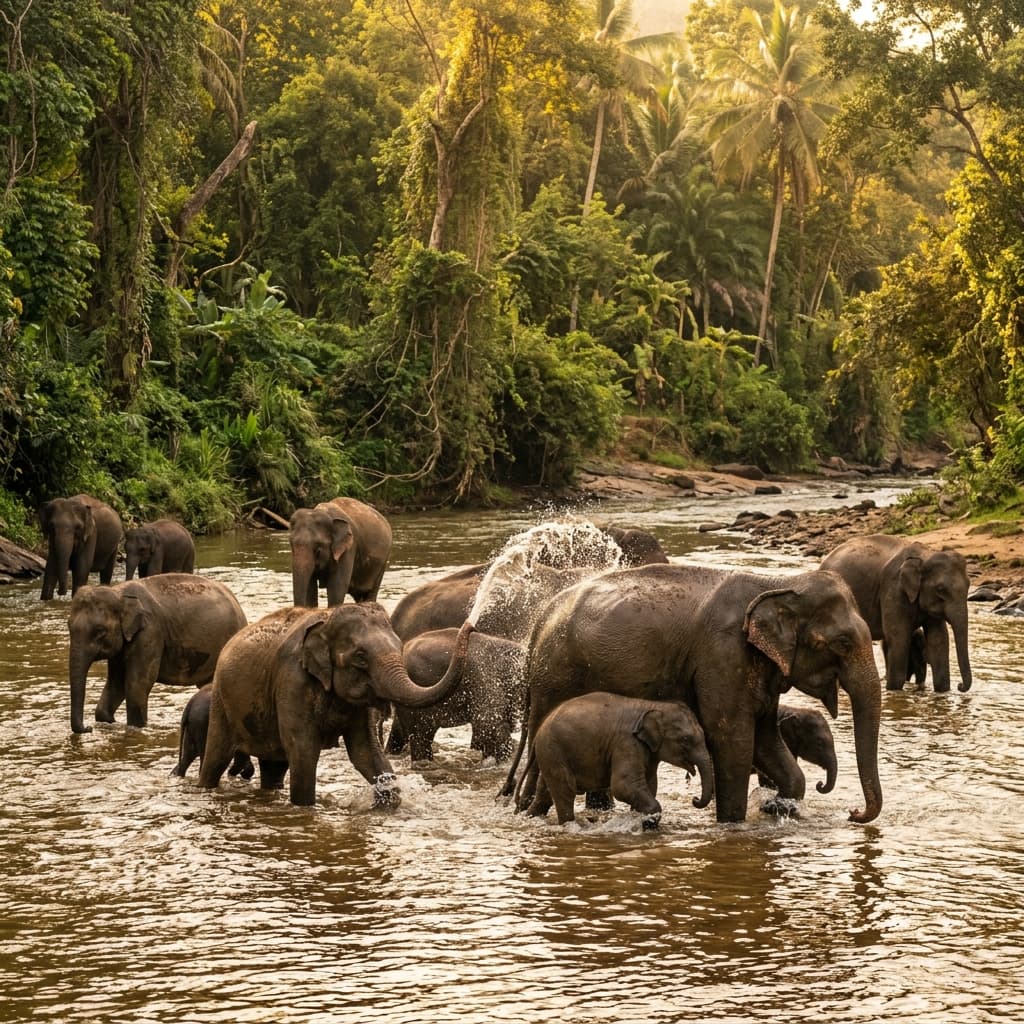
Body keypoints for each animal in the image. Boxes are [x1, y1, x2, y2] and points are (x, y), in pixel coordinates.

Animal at [67, 574, 248, 734]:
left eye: (99, 631)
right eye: (69, 627)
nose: (88, 728)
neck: (119, 593)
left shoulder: (150, 632)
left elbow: (137, 684)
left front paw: (136, 727)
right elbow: (116, 682)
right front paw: (109, 722)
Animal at [198, 604, 474, 806]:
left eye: (399, 647)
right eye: (360, 657)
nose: (470, 625)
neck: (327, 618)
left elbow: (365, 751)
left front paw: (387, 800)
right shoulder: (292, 681)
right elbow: (304, 750)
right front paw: (306, 808)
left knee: (274, 767)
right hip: (221, 703)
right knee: (216, 759)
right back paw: (205, 787)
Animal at [523, 692, 714, 828]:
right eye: (685, 740)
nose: (695, 799)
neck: (652, 705)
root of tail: (539, 730)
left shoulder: (648, 751)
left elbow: (650, 784)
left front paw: (639, 818)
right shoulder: (627, 744)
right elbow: (623, 786)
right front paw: (647, 821)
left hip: (551, 754)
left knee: (546, 790)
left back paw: (530, 817)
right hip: (553, 749)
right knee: (565, 790)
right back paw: (571, 826)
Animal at [820, 534, 972, 692]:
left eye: (969, 585)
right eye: (940, 589)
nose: (960, 686)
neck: (924, 555)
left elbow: (939, 638)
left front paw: (943, 691)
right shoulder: (893, 589)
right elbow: (899, 637)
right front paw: (894, 690)